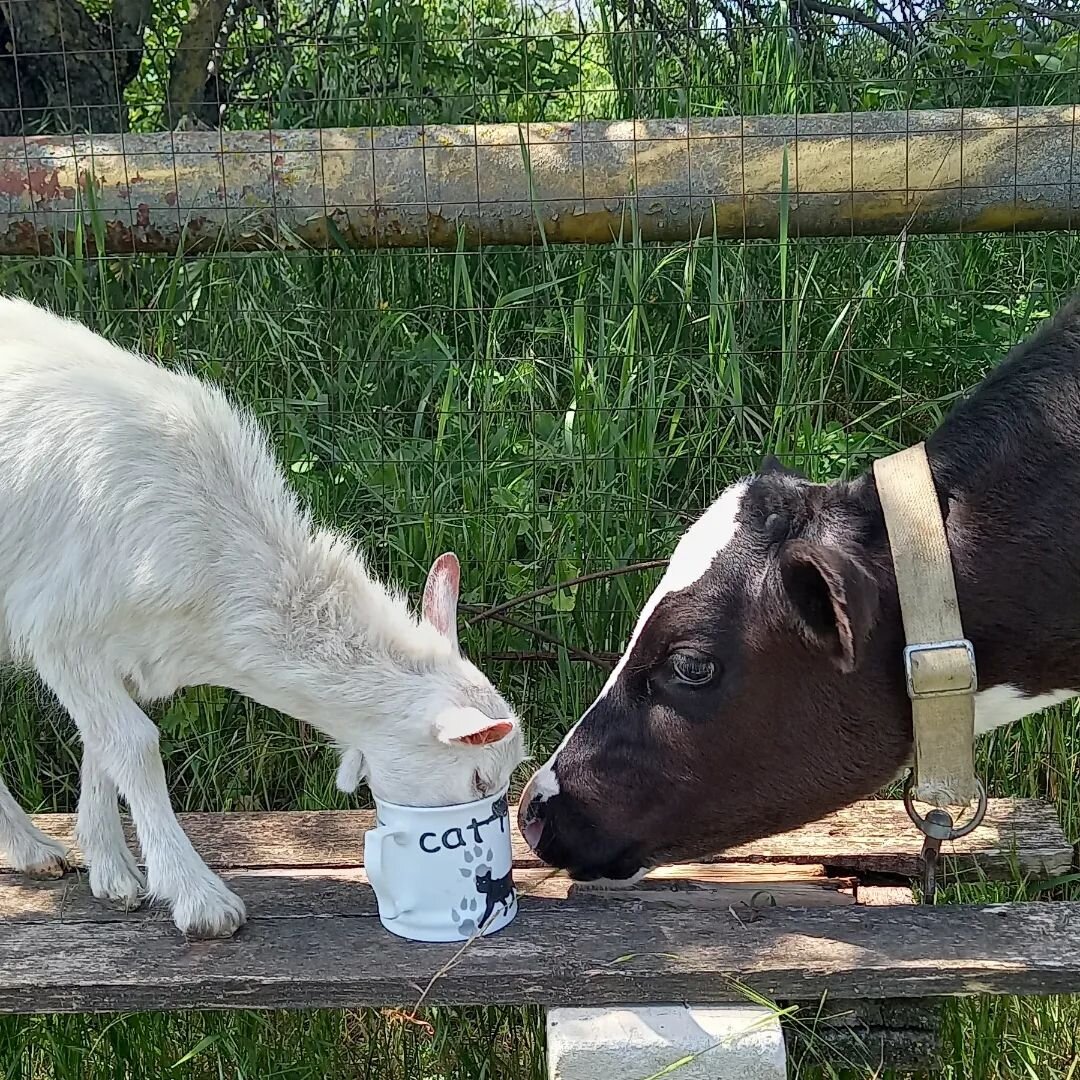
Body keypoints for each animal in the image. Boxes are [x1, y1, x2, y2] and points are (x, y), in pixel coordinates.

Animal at [0, 295, 524, 937]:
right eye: (478, 778)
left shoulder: (125, 651)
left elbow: (100, 747)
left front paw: (113, 871)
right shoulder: (59, 630)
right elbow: (134, 744)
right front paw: (198, 898)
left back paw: (31, 849)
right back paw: (31, 846)